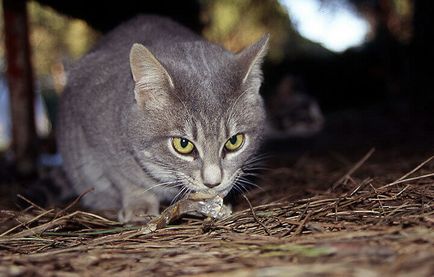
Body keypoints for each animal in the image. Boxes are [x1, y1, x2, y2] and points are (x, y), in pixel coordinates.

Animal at [56, 15, 270, 222]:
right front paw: (139, 205)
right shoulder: (98, 139)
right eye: (183, 144)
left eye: (234, 141)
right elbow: (124, 179)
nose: (212, 182)